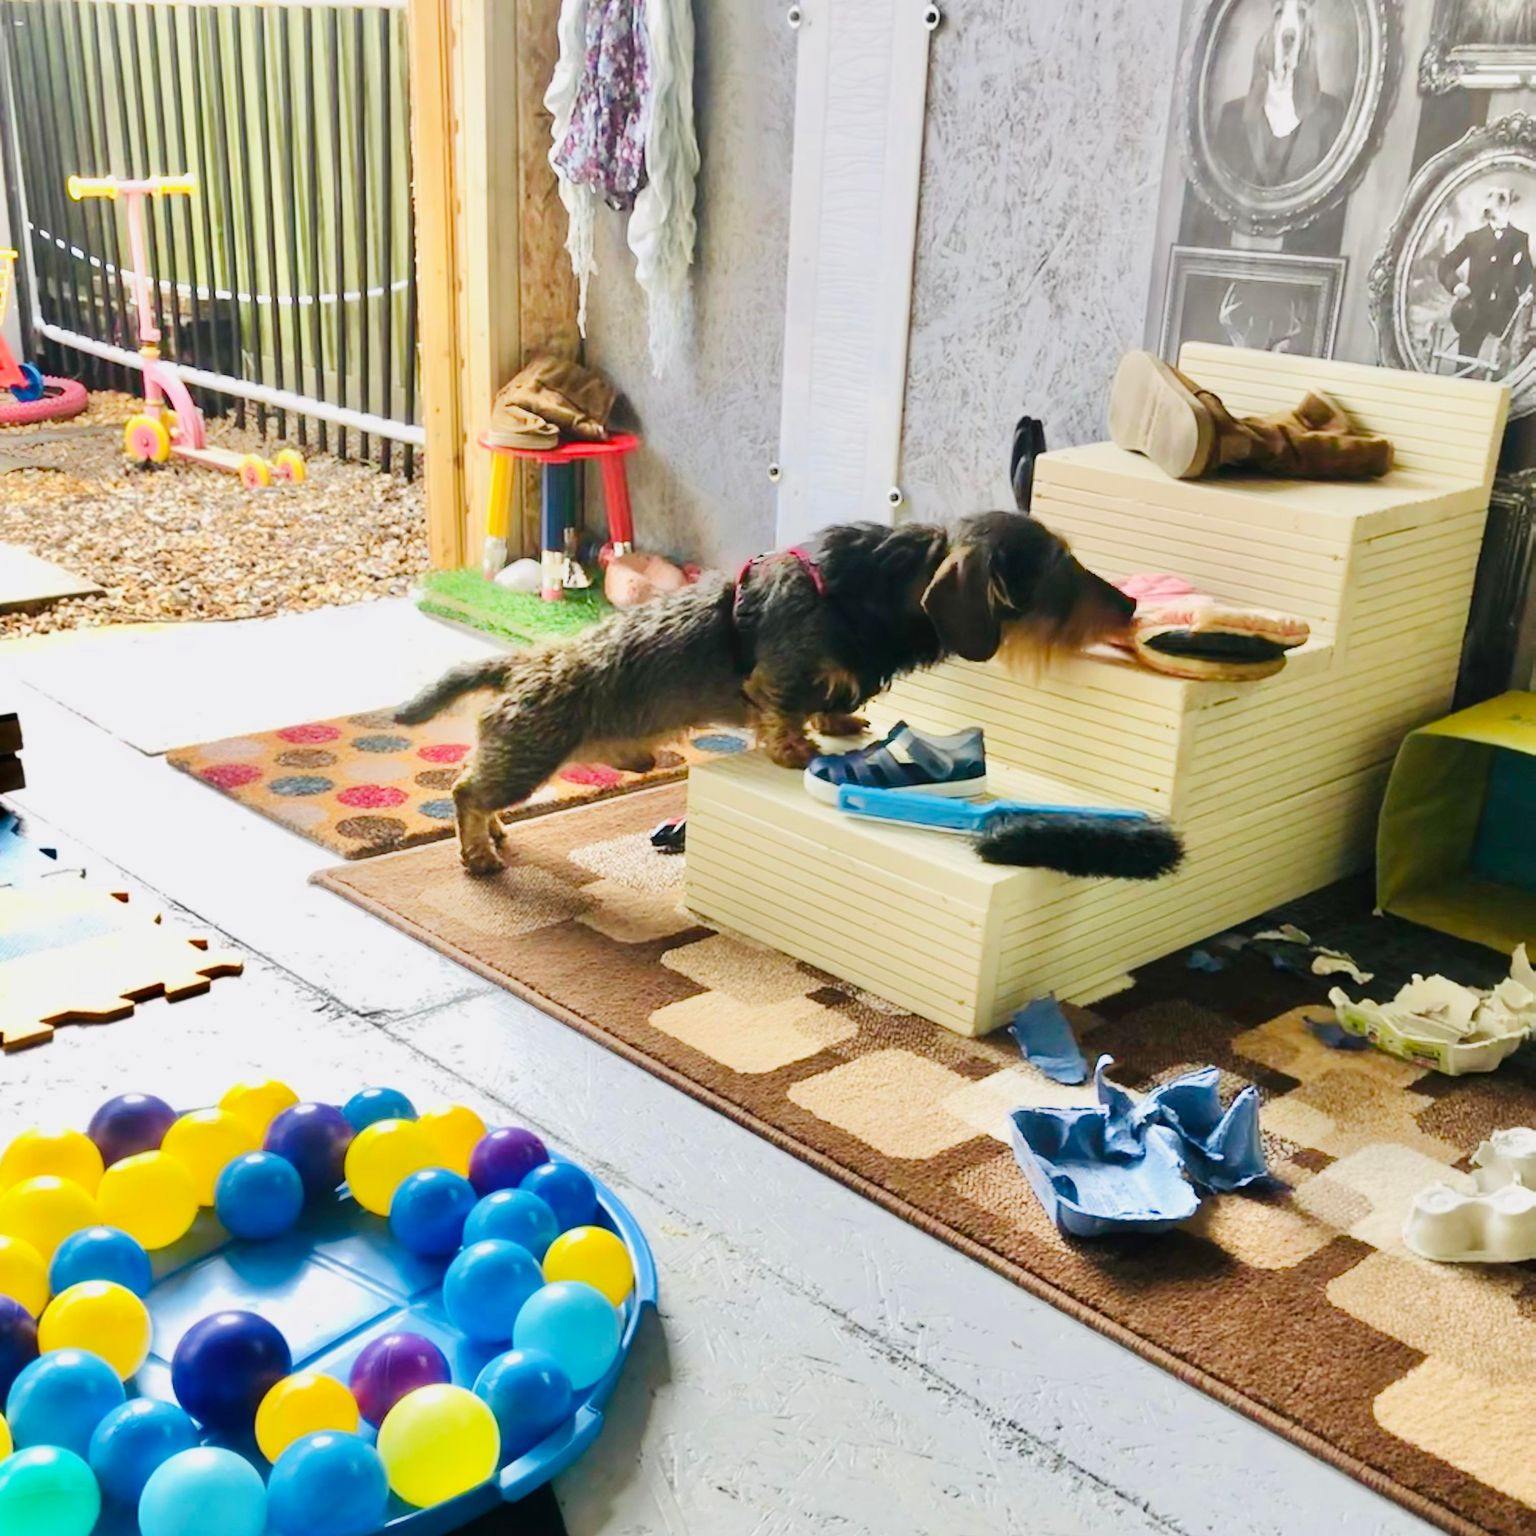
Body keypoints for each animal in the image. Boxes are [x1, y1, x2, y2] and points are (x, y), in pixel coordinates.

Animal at [397, 511, 1134, 875]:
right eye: (1061, 568)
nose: (1128, 604)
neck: (865, 591)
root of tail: (522, 663)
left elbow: (829, 700)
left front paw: (839, 722)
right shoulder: (779, 674)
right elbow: (783, 709)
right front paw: (796, 747)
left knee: (476, 788)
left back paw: (495, 836)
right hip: (529, 755)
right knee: (463, 791)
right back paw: (477, 853)